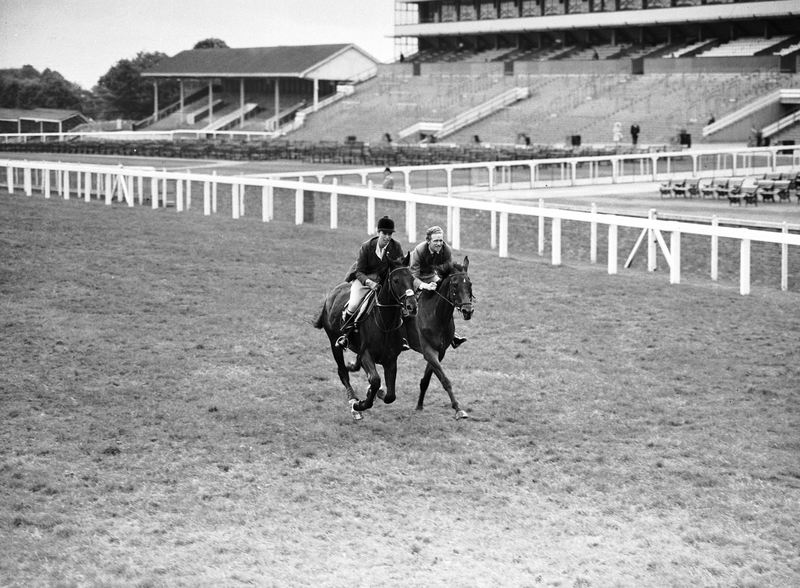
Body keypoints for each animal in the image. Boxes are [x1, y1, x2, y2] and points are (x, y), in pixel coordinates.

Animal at [310, 255, 416, 420]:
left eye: (412, 278)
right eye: (396, 280)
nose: (412, 306)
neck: (385, 322)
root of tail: (332, 294)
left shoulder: (391, 360)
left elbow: (390, 396)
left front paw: (377, 393)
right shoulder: (366, 354)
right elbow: (375, 380)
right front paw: (360, 404)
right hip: (334, 342)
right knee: (342, 372)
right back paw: (353, 401)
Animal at [404, 256, 472, 418]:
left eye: (470, 284)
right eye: (455, 285)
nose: (468, 311)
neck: (436, 316)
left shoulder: (439, 352)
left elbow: (426, 380)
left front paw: (419, 406)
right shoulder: (429, 351)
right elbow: (445, 380)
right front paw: (458, 409)